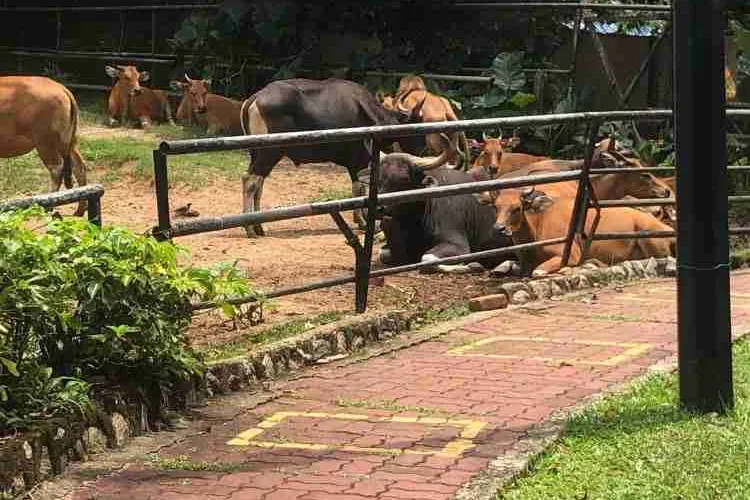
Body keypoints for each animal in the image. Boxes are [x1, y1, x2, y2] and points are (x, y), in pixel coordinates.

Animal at [0, 76, 88, 216]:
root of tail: (61, 88)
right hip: (67, 142)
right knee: (78, 166)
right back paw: (80, 209)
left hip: (45, 143)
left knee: (56, 168)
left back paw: (49, 205)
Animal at [238, 78, 427, 238]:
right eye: (417, 125)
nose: (424, 149)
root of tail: (255, 98)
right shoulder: (358, 160)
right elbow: (359, 188)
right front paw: (364, 222)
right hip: (270, 152)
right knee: (251, 180)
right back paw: (250, 229)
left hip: (257, 154)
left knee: (258, 183)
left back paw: (259, 226)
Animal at [476, 183, 674, 276]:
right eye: (495, 207)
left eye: (517, 208)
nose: (499, 229)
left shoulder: (569, 255)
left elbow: (538, 272)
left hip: (648, 236)